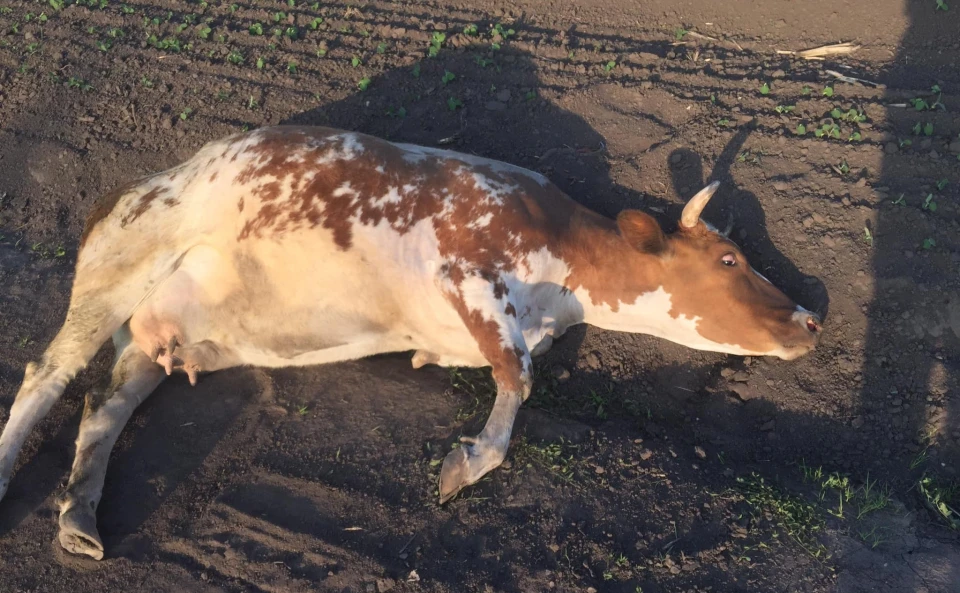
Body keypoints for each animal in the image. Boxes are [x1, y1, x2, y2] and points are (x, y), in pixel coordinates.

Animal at [0, 126, 821, 560]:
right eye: (728, 260)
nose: (812, 319)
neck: (565, 271)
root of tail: (138, 182)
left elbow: (509, 373)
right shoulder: (466, 269)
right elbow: (520, 379)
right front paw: (464, 465)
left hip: (156, 336)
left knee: (104, 404)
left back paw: (78, 518)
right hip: (121, 263)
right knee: (49, 372)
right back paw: (15, 473)